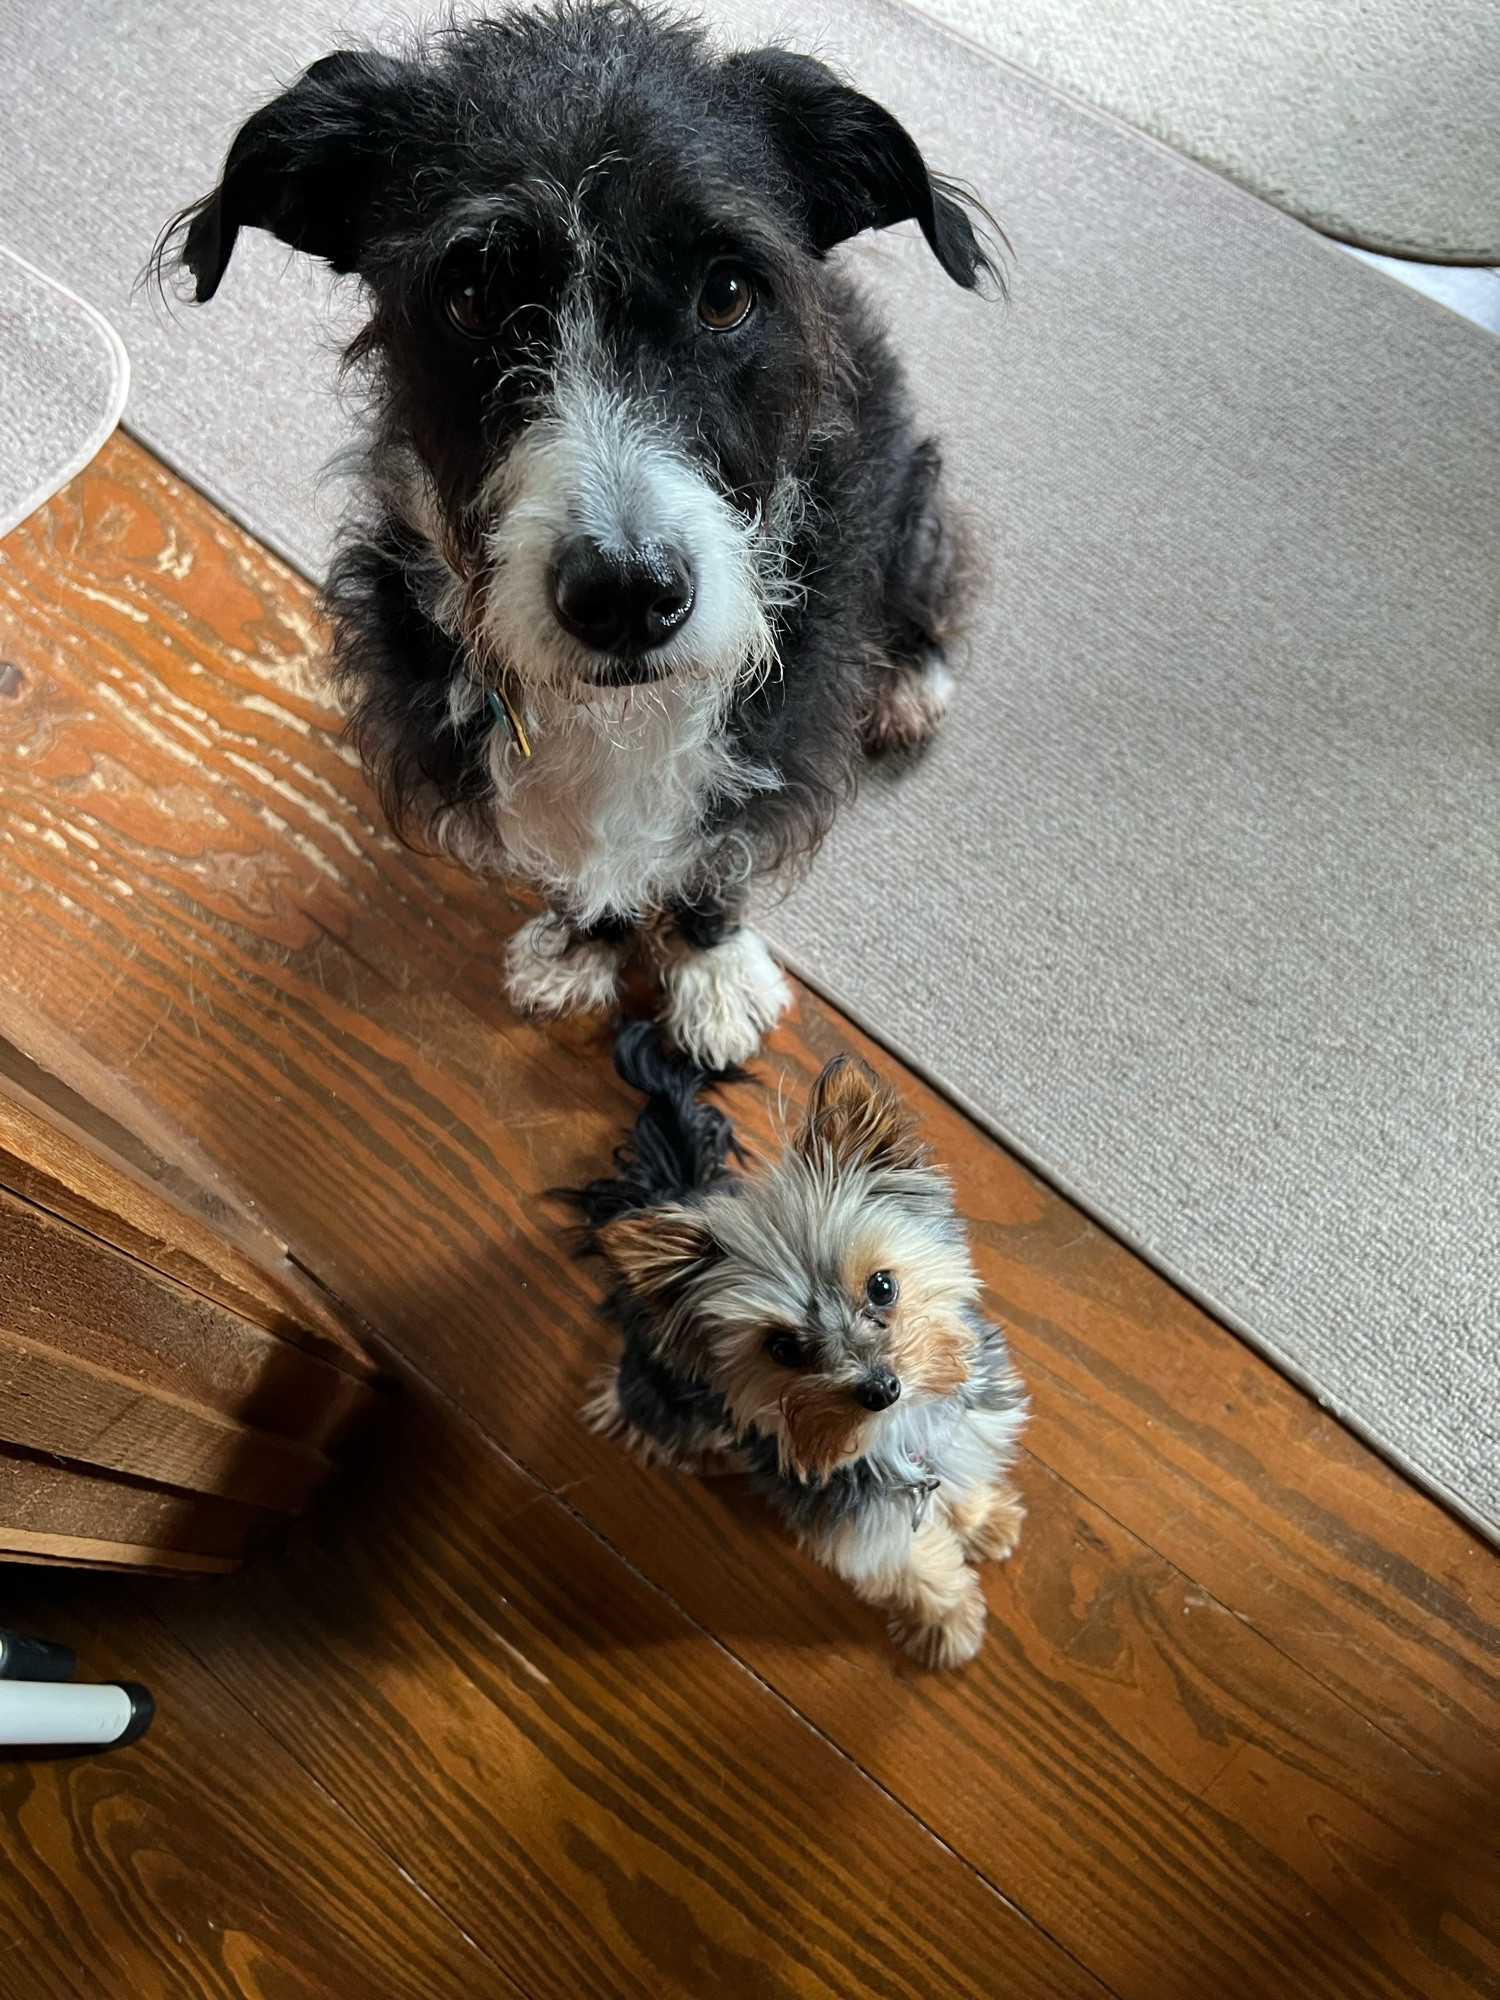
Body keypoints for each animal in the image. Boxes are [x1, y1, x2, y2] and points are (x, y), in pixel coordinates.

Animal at [164, 3, 992, 1064]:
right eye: (470, 299)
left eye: (727, 294)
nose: (628, 596)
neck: (617, 712)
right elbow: (584, 868)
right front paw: (581, 947)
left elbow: (711, 862)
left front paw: (713, 974)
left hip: (908, 500)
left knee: (925, 582)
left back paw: (908, 683)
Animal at [580, 1024, 1032, 1664]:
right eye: (784, 1349)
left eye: (882, 1286)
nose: (881, 1388)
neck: (893, 1435)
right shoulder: (860, 1533)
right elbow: (913, 1566)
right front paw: (949, 1622)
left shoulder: (949, 1439)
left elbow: (957, 1479)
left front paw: (984, 1518)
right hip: (664, 1391)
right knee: (648, 1414)